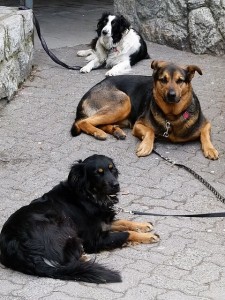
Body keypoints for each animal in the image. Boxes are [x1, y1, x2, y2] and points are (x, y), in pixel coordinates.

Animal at [0, 155, 159, 284]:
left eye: (112, 169)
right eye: (98, 173)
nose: (116, 185)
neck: (88, 196)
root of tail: (17, 246)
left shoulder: (103, 222)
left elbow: (122, 222)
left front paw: (143, 225)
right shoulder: (94, 240)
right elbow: (125, 233)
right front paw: (147, 236)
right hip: (62, 226)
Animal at [71, 59, 219, 161]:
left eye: (180, 81)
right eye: (163, 80)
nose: (171, 95)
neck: (171, 116)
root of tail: (88, 92)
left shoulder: (206, 123)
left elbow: (204, 133)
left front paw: (210, 149)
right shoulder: (138, 124)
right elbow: (150, 131)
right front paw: (146, 146)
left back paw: (115, 131)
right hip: (124, 102)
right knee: (82, 122)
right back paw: (98, 132)